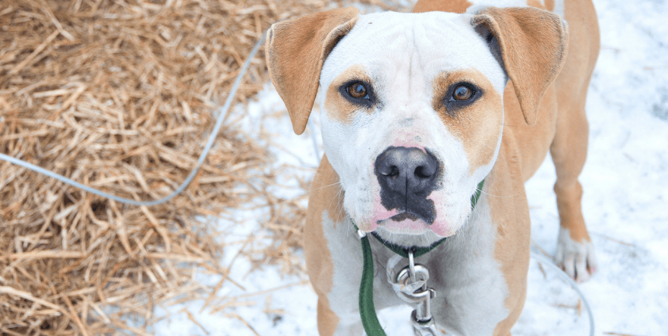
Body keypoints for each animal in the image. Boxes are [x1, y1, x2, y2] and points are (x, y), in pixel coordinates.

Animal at [264, 0, 600, 334]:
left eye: (462, 92)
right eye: (357, 90)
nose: (405, 168)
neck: (411, 249)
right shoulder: (339, 314)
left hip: (570, 125)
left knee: (569, 184)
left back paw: (575, 246)